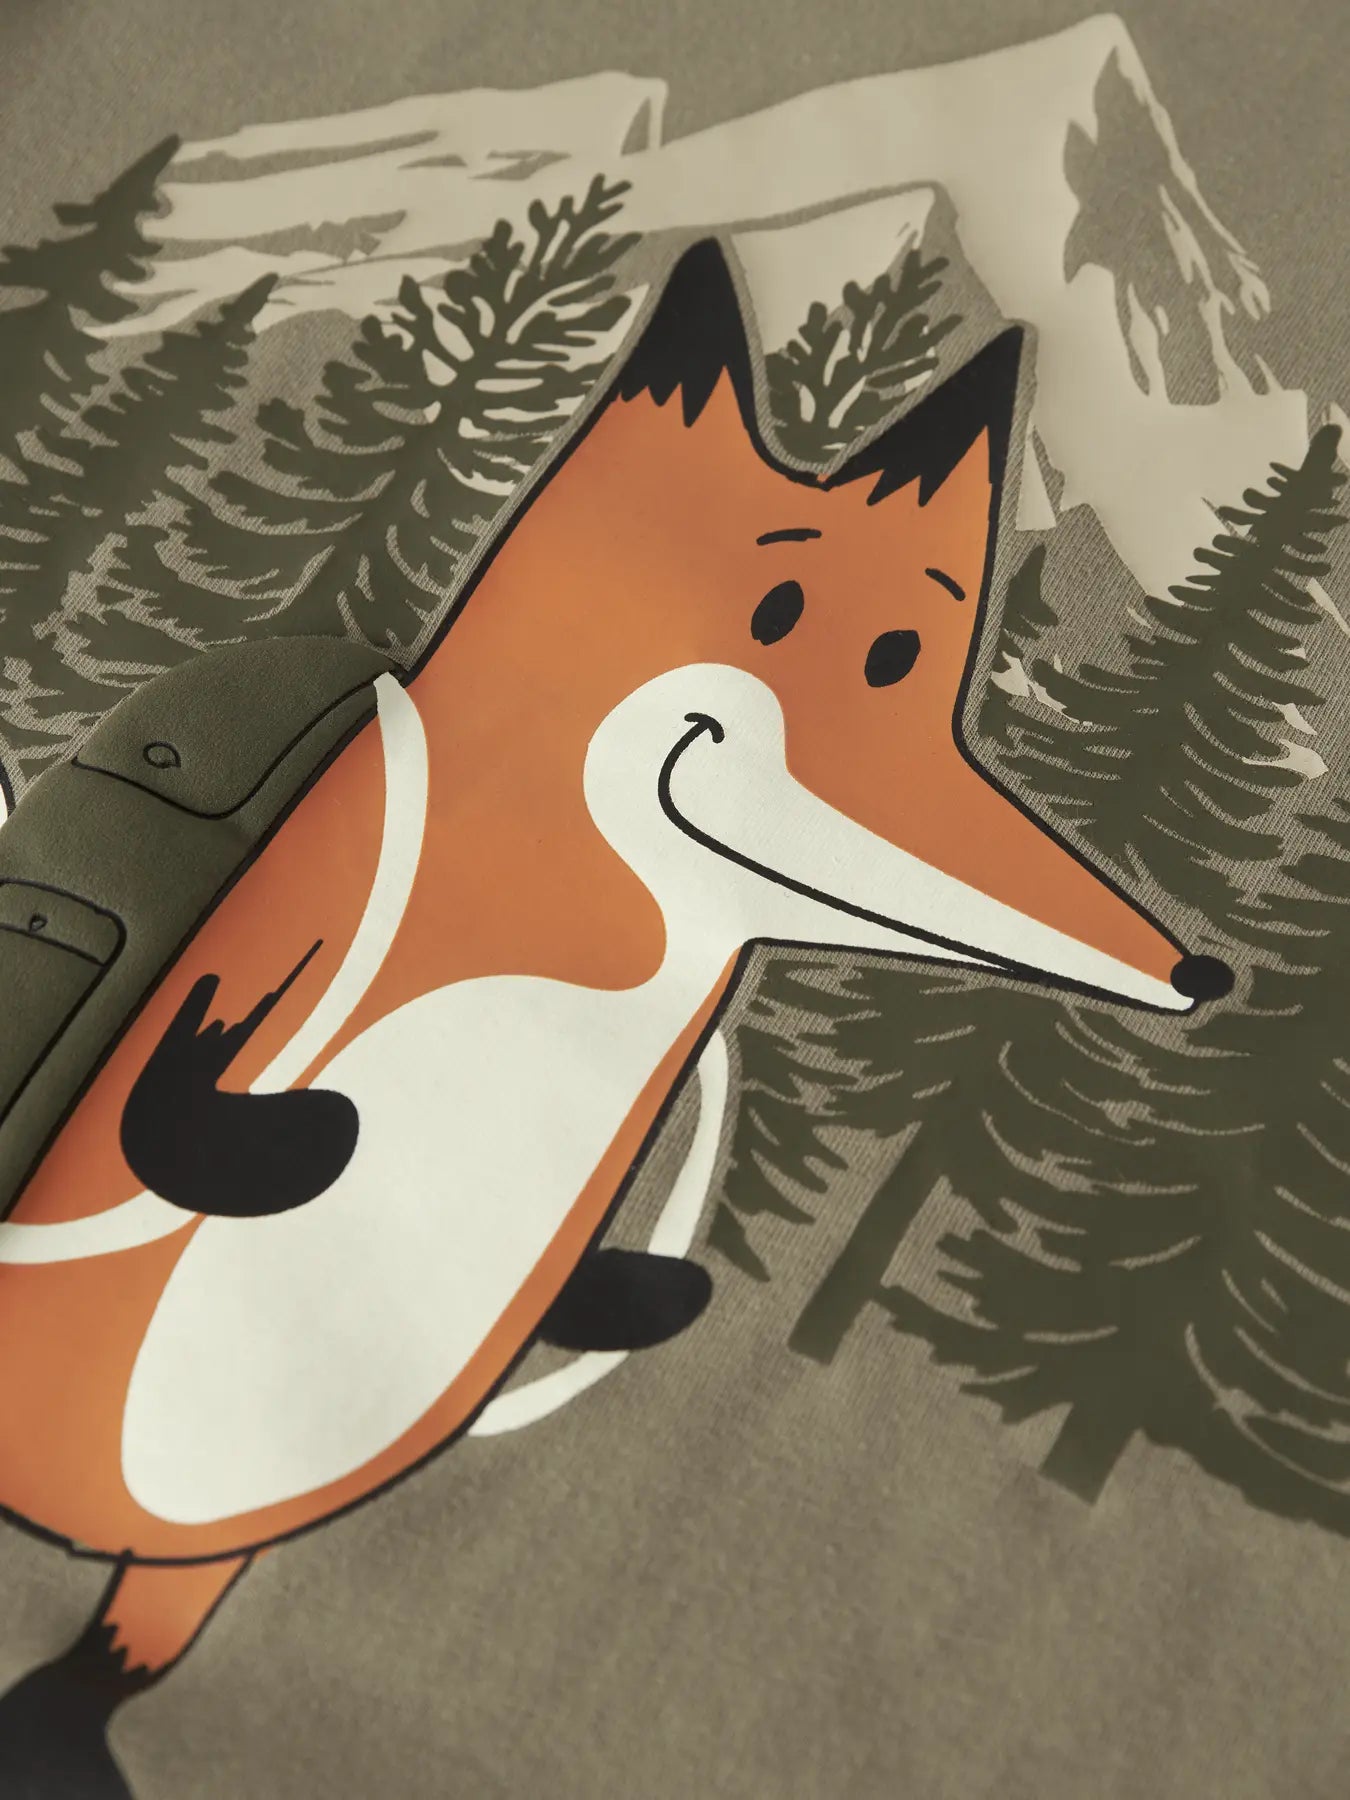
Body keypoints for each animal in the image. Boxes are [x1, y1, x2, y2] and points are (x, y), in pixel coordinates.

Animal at [0, 238, 1232, 1795]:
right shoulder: (297, 949)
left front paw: (643, 1290)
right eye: (787, 621)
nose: (1200, 978)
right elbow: (204, 1108)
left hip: (198, 1552)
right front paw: (293, 1115)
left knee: (119, 1643)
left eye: (915, 659)